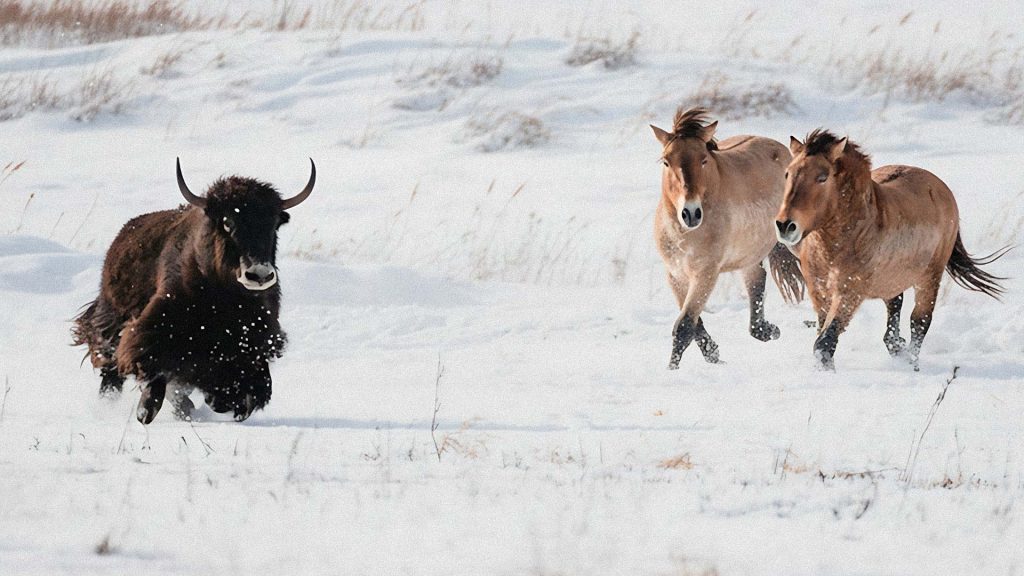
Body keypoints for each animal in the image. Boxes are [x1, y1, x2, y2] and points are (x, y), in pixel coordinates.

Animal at [651, 107, 804, 369]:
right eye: (666, 161)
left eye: (703, 159)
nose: (690, 213)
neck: (684, 234)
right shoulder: (676, 275)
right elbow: (693, 324)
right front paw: (713, 354)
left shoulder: (706, 273)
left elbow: (684, 327)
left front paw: (673, 370)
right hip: (750, 256)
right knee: (757, 283)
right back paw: (769, 330)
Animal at [775, 129, 1006, 370]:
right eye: (788, 173)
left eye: (822, 178)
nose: (785, 225)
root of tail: (941, 188)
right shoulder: (819, 292)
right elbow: (822, 335)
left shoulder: (850, 292)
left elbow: (825, 341)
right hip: (893, 281)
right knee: (894, 317)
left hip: (929, 277)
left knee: (919, 321)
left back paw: (912, 364)